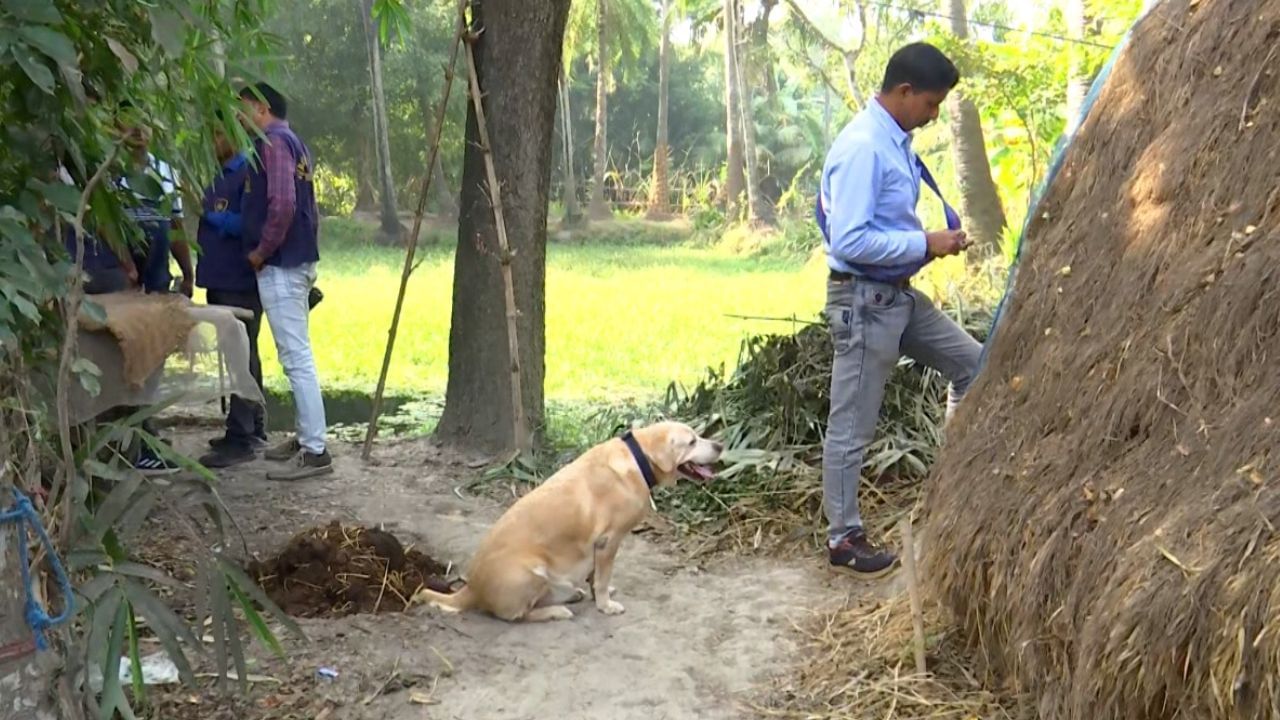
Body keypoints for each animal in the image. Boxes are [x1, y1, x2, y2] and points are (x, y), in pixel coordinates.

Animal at [417, 420, 727, 617]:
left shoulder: (598, 548)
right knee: (517, 615)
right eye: (692, 441)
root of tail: (470, 589)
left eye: (699, 436)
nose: (721, 445)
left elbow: (595, 576)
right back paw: (558, 610)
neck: (638, 459)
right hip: (531, 572)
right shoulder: (609, 541)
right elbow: (601, 577)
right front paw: (605, 605)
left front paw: (598, 593)